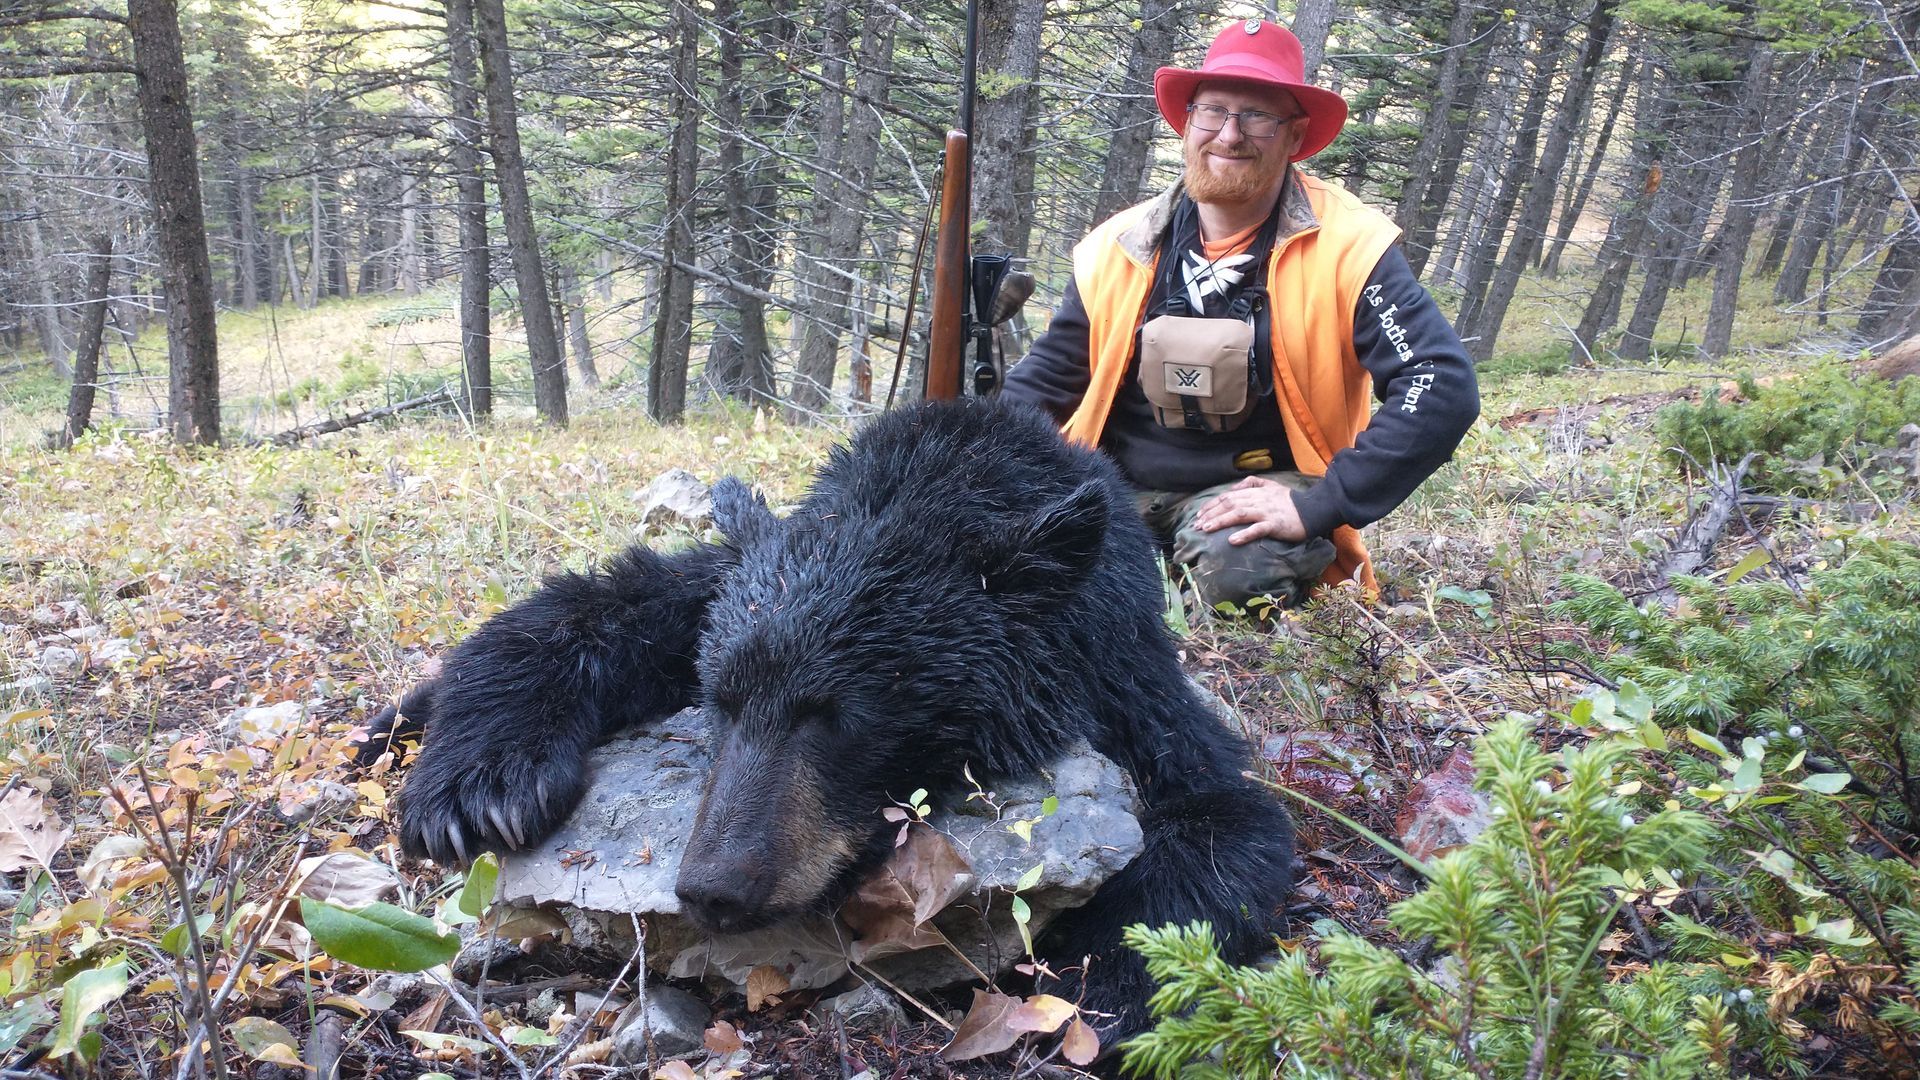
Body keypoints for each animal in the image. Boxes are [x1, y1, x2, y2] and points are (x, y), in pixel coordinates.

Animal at [366, 398, 1294, 1047]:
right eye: (720, 700)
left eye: (842, 717)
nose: (713, 887)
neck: (946, 480)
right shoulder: (739, 587)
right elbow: (600, 602)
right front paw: (477, 790)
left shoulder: (1119, 665)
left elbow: (1225, 809)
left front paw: (1089, 987)